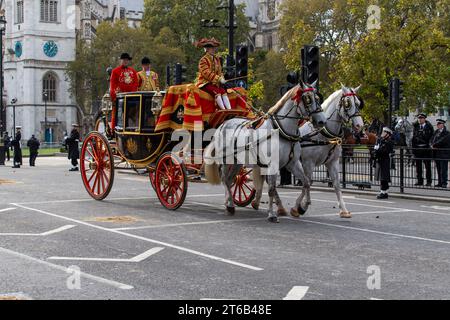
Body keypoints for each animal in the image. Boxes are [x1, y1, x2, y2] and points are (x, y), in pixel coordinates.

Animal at [205, 80, 326, 222]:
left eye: (317, 98)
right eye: (307, 99)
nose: (321, 121)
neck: (281, 131)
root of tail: (223, 124)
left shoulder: (293, 163)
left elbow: (306, 182)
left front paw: (301, 207)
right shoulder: (272, 164)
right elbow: (272, 189)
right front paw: (272, 214)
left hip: (237, 162)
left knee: (230, 180)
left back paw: (229, 204)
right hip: (226, 160)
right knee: (225, 179)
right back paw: (229, 205)